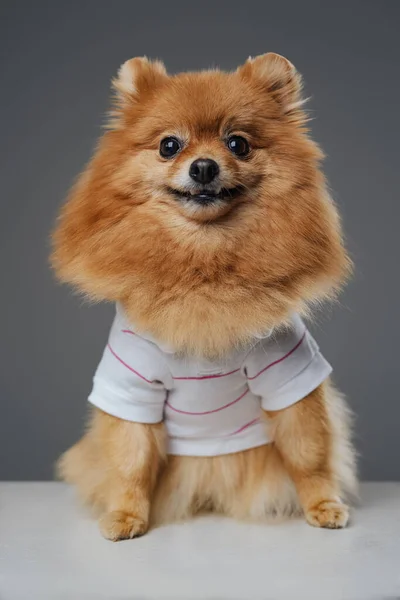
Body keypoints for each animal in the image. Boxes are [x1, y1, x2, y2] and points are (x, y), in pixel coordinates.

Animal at [52, 54, 356, 540]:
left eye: (238, 143)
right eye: (169, 145)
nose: (204, 167)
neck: (204, 265)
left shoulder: (289, 375)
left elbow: (308, 451)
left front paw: (323, 504)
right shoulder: (131, 385)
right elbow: (130, 461)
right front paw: (126, 514)